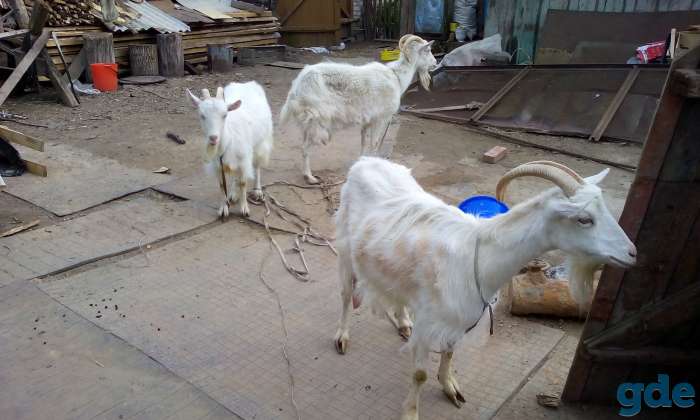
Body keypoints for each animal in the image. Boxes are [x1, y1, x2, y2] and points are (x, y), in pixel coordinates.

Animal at [187, 82, 273, 218]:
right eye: (202, 116)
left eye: (225, 115)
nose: (213, 138)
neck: (228, 139)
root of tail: (247, 83)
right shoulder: (218, 165)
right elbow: (222, 185)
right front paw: (223, 208)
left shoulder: (244, 160)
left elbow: (243, 183)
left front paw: (244, 209)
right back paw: (233, 194)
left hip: (261, 142)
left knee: (257, 165)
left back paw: (257, 191)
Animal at [279, 34, 437, 184]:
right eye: (428, 50)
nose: (435, 64)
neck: (396, 78)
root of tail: (296, 88)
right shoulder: (380, 118)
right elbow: (375, 143)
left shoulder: (367, 120)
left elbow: (363, 142)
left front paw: (362, 163)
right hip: (317, 121)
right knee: (305, 148)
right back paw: (310, 177)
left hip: (307, 123)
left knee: (303, 145)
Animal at [334, 157, 636, 420]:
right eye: (584, 219)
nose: (632, 253)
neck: (479, 259)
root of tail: (365, 161)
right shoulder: (432, 321)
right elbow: (419, 374)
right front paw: (410, 413)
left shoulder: (461, 318)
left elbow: (450, 352)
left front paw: (450, 387)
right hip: (346, 250)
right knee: (346, 294)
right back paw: (342, 337)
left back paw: (403, 321)